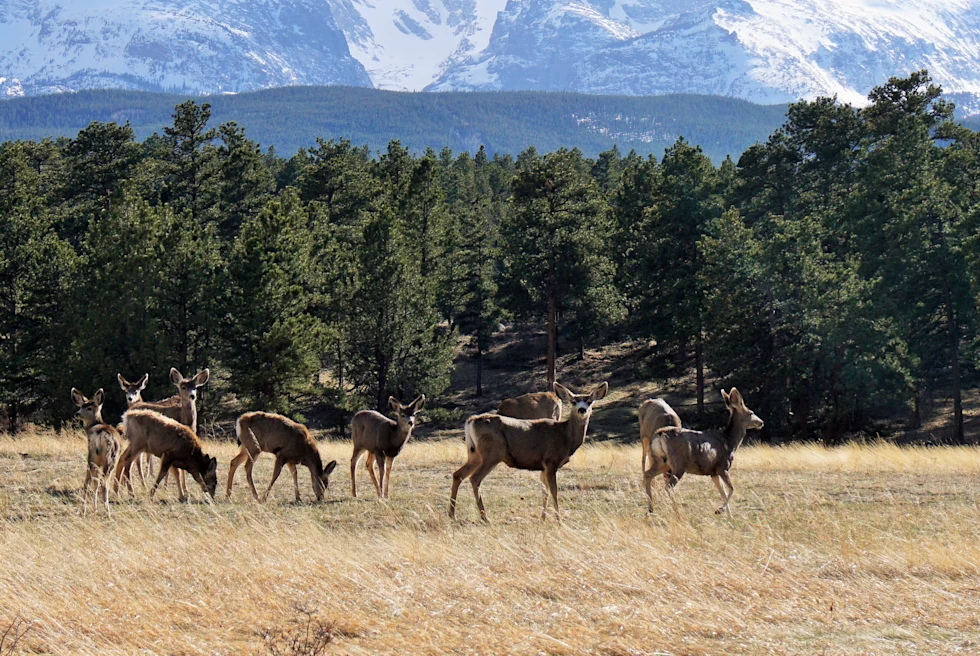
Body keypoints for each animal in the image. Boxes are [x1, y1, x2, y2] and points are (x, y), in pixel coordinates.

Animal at [450, 381, 608, 523]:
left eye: (589, 401)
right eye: (574, 402)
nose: (582, 410)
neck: (565, 437)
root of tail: (471, 421)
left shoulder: (543, 466)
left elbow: (544, 491)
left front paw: (543, 518)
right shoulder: (551, 461)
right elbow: (554, 490)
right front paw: (558, 519)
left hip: (474, 454)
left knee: (458, 474)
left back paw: (452, 514)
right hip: (492, 453)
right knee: (474, 478)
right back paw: (484, 517)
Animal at [643, 388, 763, 518]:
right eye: (751, 412)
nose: (761, 422)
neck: (729, 441)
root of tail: (660, 434)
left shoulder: (713, 472)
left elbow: (723, 492)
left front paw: (729, 517)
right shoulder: (722, 467)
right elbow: (731, 489)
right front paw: (719, 510)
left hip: (662, 462)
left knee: (648, 474)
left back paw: (650, 509)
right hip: (678, 464)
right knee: (668, 486)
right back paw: (678, 513)